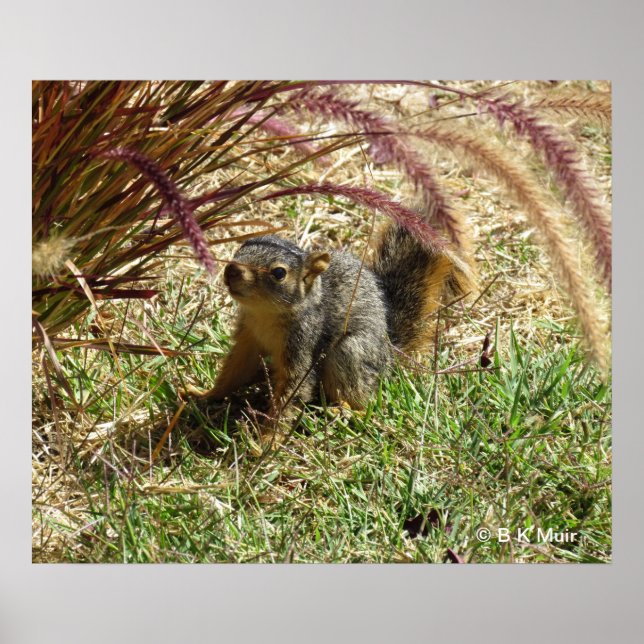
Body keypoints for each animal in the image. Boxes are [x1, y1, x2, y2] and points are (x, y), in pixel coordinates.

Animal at [186, 223, 472, 415]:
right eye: (242, 247)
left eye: (279, 273)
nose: (231, 270)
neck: (265, 314)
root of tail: (390, 353)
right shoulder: (248, 337)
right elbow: (234, 372)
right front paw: (202, 394)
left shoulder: (302, 342)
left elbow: (295, 388)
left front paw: (267, 440)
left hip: (351, 352)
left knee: (362, 400)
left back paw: (344, 409)